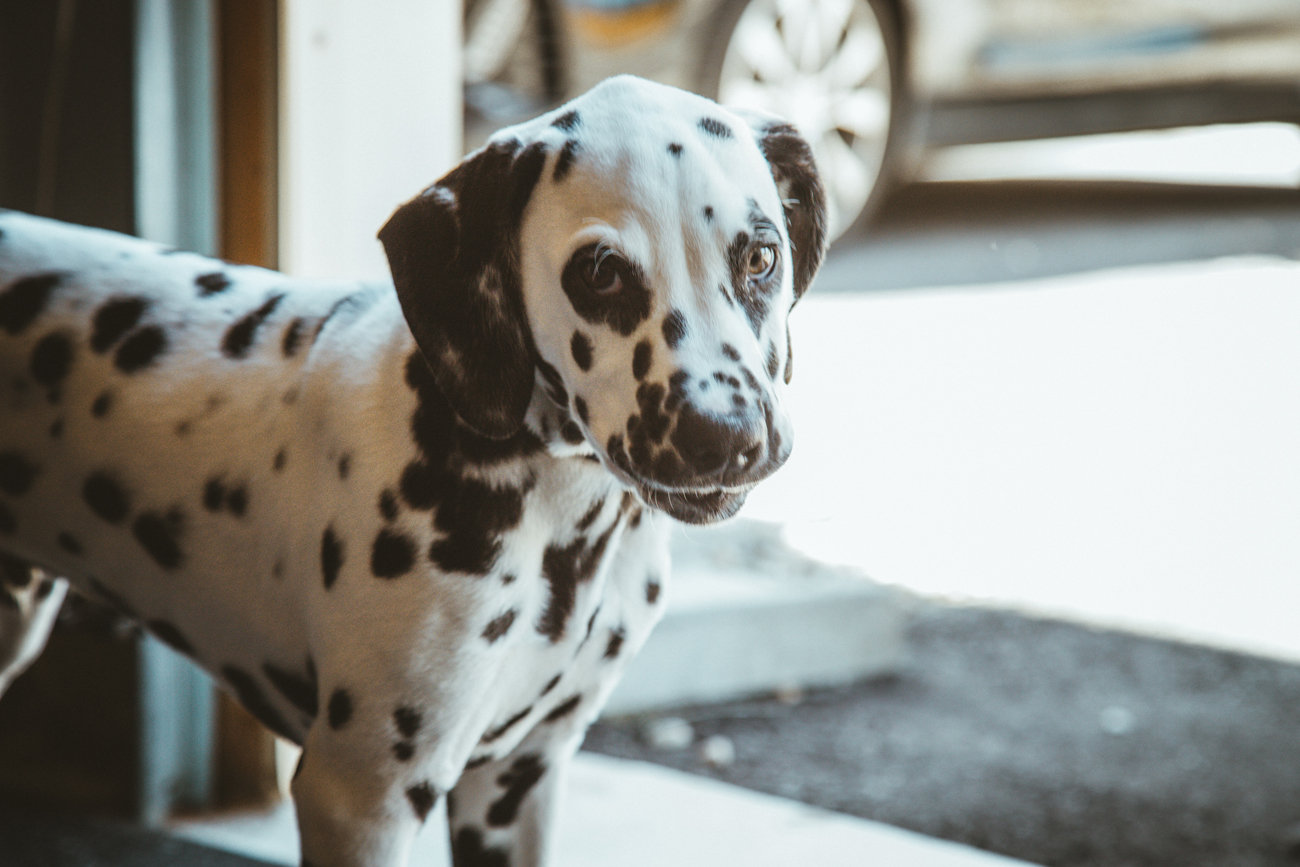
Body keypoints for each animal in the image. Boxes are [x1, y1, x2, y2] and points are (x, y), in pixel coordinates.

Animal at [0, 76, 826, 867]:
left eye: (761, 256)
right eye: (600, 274)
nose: (724, 433)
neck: (561, 520)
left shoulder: (515, 783)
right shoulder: (364, 799)